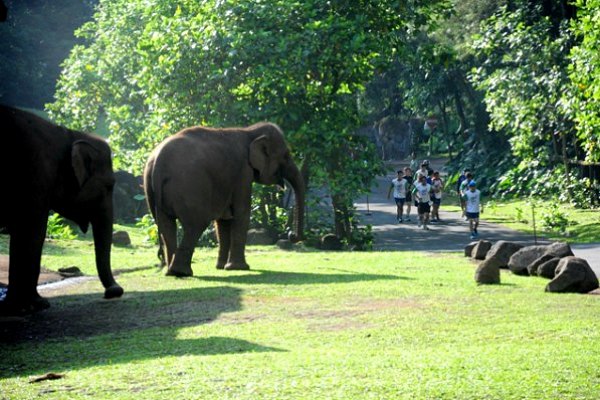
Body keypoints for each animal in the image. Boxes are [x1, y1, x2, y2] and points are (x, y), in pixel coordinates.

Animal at [0, 105, 123, 316]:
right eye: (109, 186)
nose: (115, 291)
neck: (67, 133)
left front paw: (17, 307)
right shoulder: (37, 173)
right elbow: (33, 231)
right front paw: (35, 305)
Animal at [145, 122, 304, 276]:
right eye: (286, 155)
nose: (291, 235)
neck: (250, 131)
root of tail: (158, 161)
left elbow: (224, 219)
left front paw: (222, 267)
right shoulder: (243, 172)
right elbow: (242, 212)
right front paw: (239, 268)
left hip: (152, 192)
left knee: (167, 226)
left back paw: (170, 272)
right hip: (188, 186)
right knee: (196, 224)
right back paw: (181, 272)